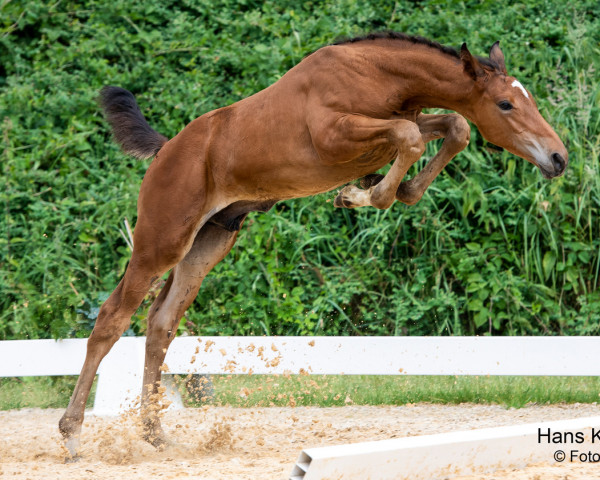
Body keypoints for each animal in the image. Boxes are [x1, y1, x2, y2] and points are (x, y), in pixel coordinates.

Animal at [59, 32, 568, 454]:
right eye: (505, 104)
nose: (559, 157)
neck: (376, 75)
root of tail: (166, 151)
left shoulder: (397, 128)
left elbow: (452, 129)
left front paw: (389, 191)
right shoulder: (336, 135)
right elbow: (411, 137)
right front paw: (362, 195)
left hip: (208, 244)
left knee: (160, 323)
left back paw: (155, 435)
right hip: (160, 242)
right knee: (111, 318)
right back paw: (72, 434)